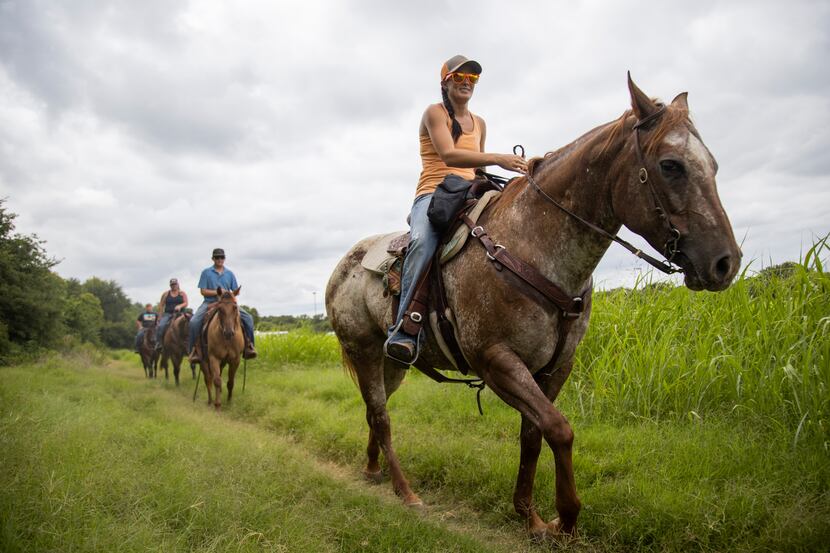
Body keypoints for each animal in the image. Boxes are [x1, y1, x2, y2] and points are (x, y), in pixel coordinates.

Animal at [324, 75, 740, 536]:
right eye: (670, 165)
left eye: (713, 164)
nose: (725, 263)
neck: (530, 244)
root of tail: (342, 267)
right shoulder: (497, 361)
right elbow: (558, 429)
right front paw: (565, 520)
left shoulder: (556, 366)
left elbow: (533, 433)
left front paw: (528, 514)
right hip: (363, 350)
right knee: (381, 416)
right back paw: (405, 491)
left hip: (392, 365)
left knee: (373, 412)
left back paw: (373, 469)